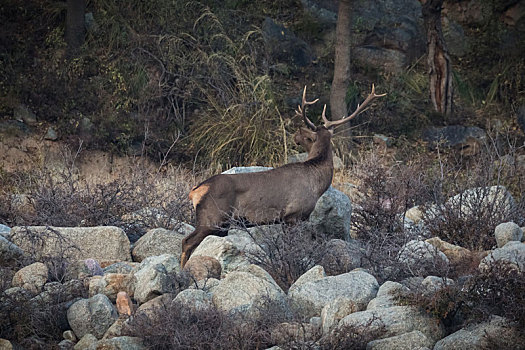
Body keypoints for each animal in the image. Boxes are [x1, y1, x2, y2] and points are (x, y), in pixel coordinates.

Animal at [181, 86, 384, 266]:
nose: (295, 136)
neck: (317, 184)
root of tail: (195, 191)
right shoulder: (294, 215)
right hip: (213, 217)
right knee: (187, 241)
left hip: (221, 224)